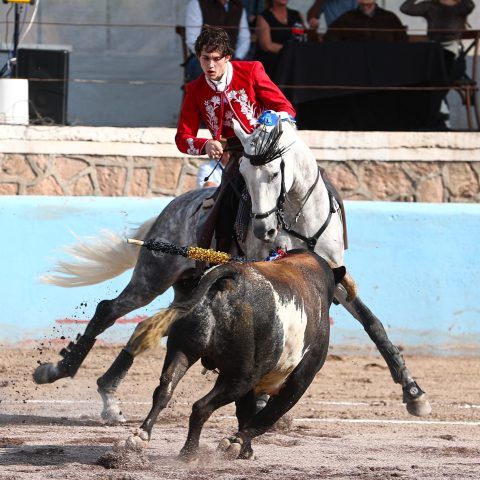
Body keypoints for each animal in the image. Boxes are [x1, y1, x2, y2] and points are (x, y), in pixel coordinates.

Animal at [33, 112, 431, 421]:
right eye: (245, 177)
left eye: (274, 174)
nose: (263, 229)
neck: (298, 220)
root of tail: (170, 209)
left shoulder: (336, 278)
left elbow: (373, 324)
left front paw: (412, 391)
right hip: (154, 274)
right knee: (109, 310)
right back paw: (64, 373)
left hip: (187, 286)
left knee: (150, 324)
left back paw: (108, 393)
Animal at [108, 249, 344, 461]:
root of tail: (229, 279)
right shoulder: (299, 381)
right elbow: (265, 417)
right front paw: (237, 445)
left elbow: (247, 412)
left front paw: (245, 450)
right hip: (241, 376)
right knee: (202, 406)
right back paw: (189, 453)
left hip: (183, 350)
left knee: (164, 390)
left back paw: (139, 438)